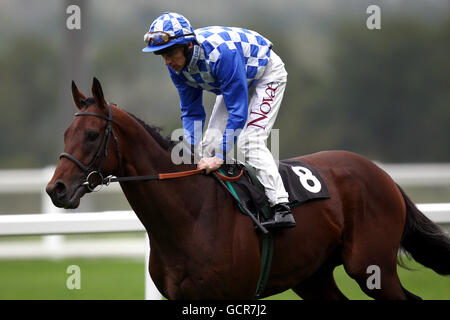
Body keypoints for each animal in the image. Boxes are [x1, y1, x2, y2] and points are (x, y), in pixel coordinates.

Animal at [46, 78, 450, 300]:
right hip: (312, 276)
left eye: (92, 134)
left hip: (371, 267)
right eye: (65, 133)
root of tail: (383, 175)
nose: (56, 189)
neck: (190, 216)